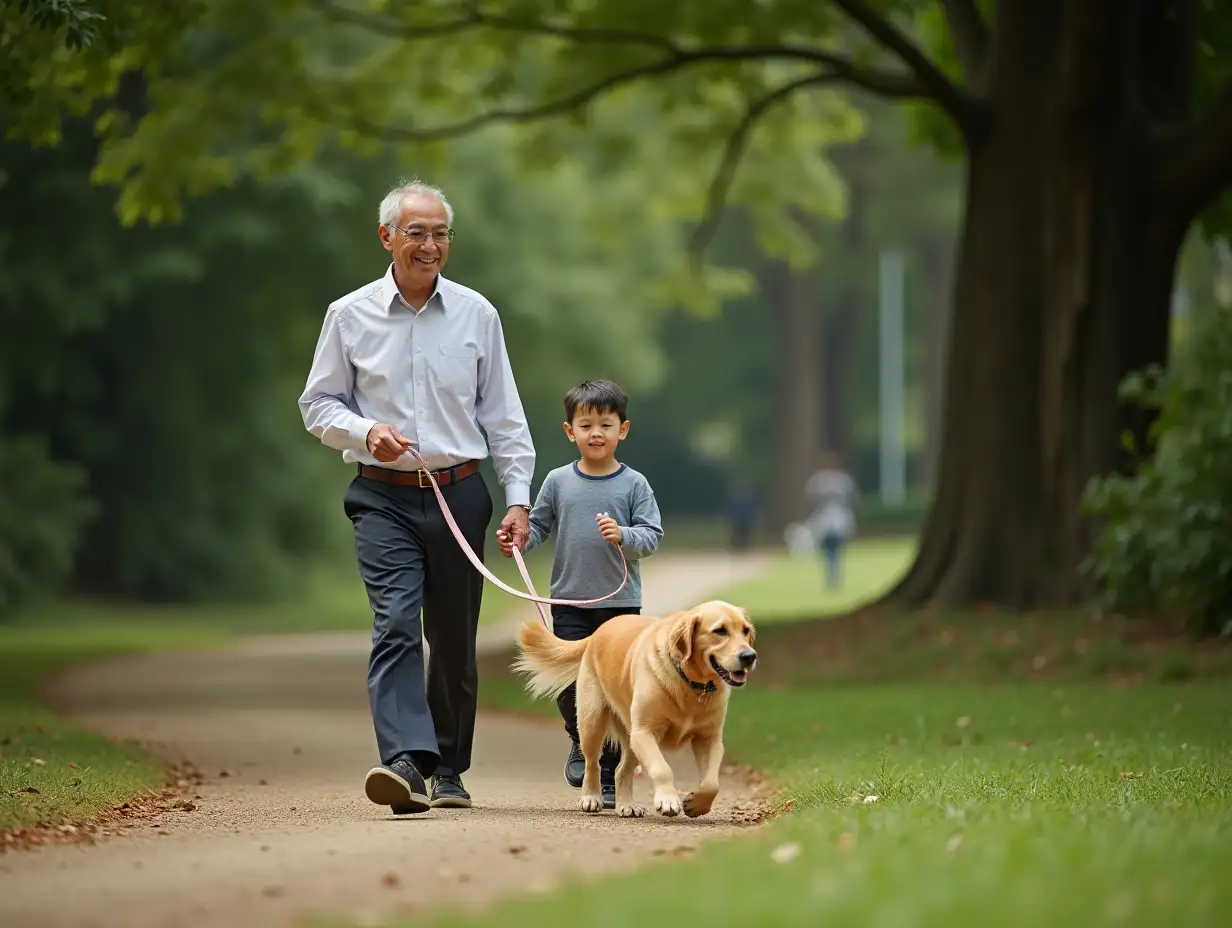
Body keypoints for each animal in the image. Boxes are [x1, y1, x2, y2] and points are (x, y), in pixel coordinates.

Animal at [512, 596, 758, 813]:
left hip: (629, 738)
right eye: (720, 631)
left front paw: (696, 804)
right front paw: (668, 800)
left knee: (621, 771)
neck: (691, 683)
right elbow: (661, 769)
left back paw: (626, 805)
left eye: (745, 630)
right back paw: (591, 798)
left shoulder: (709, 738)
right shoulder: (644, 732)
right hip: (593, 722)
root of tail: (596, 633)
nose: (750, 656)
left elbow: (711, 783)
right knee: (592, 764)